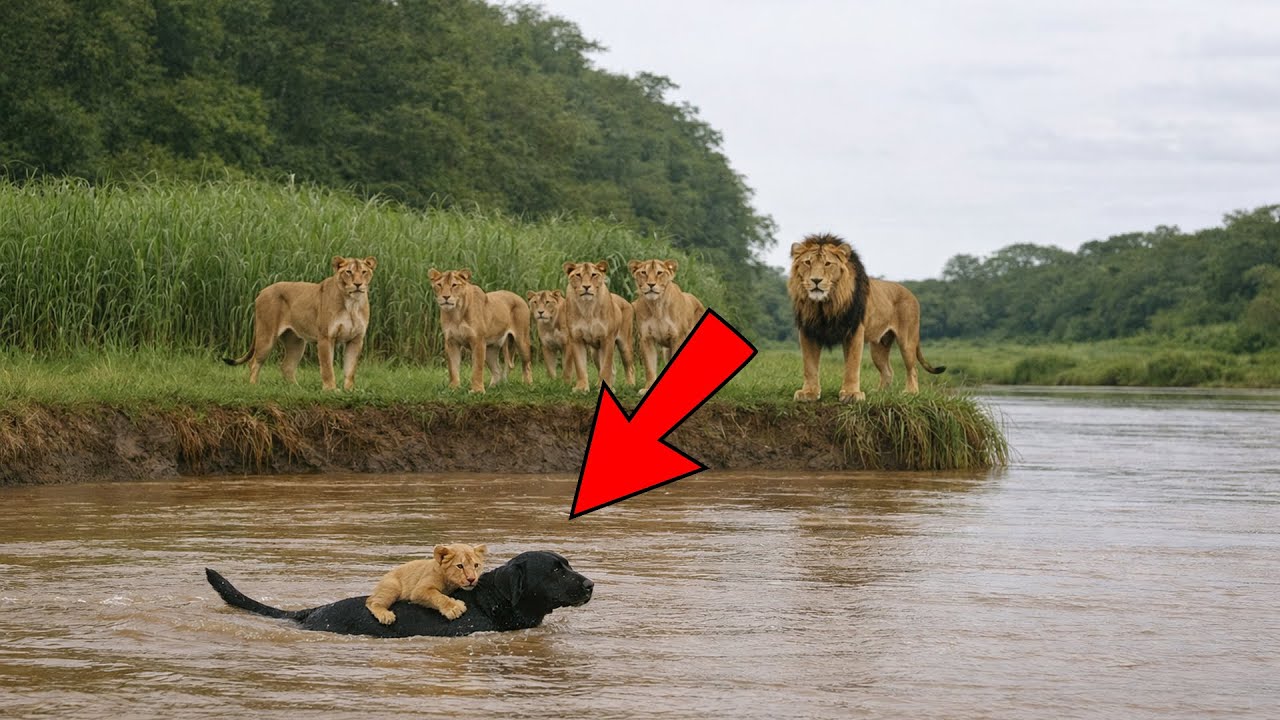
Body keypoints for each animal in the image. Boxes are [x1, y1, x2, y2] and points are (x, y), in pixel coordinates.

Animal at [224, 256, 377, 391]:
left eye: (364, 272)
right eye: (348, 272)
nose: (358, 284)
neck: (352, 303)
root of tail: (262, 291)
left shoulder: (356, 339)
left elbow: (350, 369)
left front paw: (349, 390)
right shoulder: (325, 338)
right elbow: (327, 367)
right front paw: (331, 390)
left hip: (295, 342)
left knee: (286, 366)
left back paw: (297, 389)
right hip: (266, 336)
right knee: (254, 362)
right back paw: (253, 386)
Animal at [562, 261, 635, 392]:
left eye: (594, 275)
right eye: (578, 275)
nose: (586, 287)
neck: (587, 307)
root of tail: (626, 301)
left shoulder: (607, 339)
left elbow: (606, 367)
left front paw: (606, 386)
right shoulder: (576, 339)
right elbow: (580, 366)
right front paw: (581, 388)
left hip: (625, 345)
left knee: (629, 367)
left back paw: (630, 385)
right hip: (595, 352)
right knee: (610, 369)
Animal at [628, 259, 706, 394]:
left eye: (659, 273)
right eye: (643, 272)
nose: (651, 284)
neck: (656, 305)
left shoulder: (677, 338)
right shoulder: (646, 339)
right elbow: (650, 367)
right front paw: (647, 388)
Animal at [788, 234, 871, 402]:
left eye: (827, 263)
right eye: (807, 262)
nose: (816, 280)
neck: (823, 306)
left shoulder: (855, 326)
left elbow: (853, 363)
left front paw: (851, 393)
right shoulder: (807, 328)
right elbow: (809, 364)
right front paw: (809, 392)